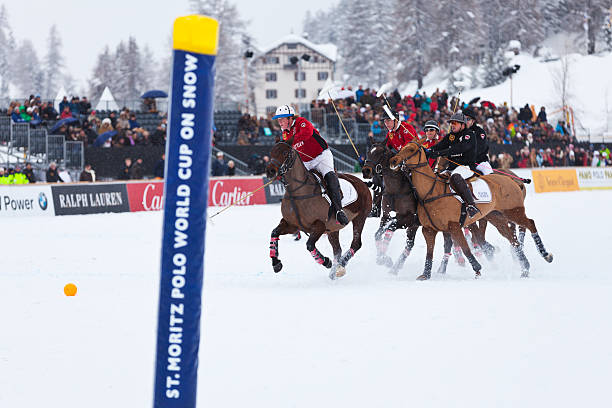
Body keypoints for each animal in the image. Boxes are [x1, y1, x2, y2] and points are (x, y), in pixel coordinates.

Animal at [264, 142, 370, 278]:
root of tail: (362, 182)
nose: (270, 171)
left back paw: (340, 265)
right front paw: (276, 263)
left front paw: (326, 261)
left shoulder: (320, 225)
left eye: (285, 153)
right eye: (271, 152)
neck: (297, 192)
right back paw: (335, 271)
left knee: (356, 243)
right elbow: (274, 233)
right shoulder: (292, 225)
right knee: (337, 249)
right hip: (333, 229)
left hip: (360, 217)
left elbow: (309, 245)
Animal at [392, 142, 556, 278]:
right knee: (513, 239)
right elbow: (429, 252)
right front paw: (425, 274)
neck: (430, 192)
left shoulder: (454, 226)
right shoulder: (428, 229)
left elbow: (466, 248)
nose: (393, 160)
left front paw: (477, 269)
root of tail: (513, 180)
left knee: (529, 224)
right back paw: (525, 268)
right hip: (496, 217)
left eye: (411, 149)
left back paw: (545, 255)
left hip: (513, 211)